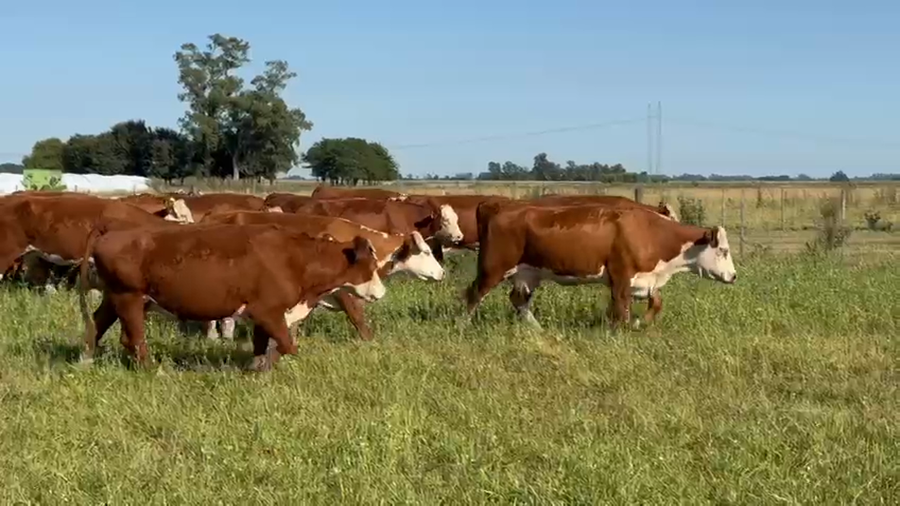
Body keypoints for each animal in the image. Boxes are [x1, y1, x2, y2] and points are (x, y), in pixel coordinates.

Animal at [78, 223, 387, 371]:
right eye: (371, 266)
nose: (382, 292)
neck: (296, 258)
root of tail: (112, 232)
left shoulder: (265, 314)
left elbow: (264, 345)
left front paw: (256, 368)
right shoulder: (267, 311)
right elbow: (287, 345)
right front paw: (258, 371)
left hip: (118, 297)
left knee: (99, 325)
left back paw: (86, 361)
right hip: (128, 297)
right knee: (134, 339)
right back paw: (153, 370)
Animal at [464, 201, 737, 330]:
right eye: (723, 251)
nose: (734, 276)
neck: (651, 232)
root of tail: (497, 206)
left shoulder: (644, 279)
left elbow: (655, 302)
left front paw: (639, 323)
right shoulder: (620, 276)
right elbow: (622, 309)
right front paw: (623, 329)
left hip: (527, 273)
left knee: (519, 300)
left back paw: (537, 329)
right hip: (493, 268)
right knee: (473, 295)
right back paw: (462, 326)